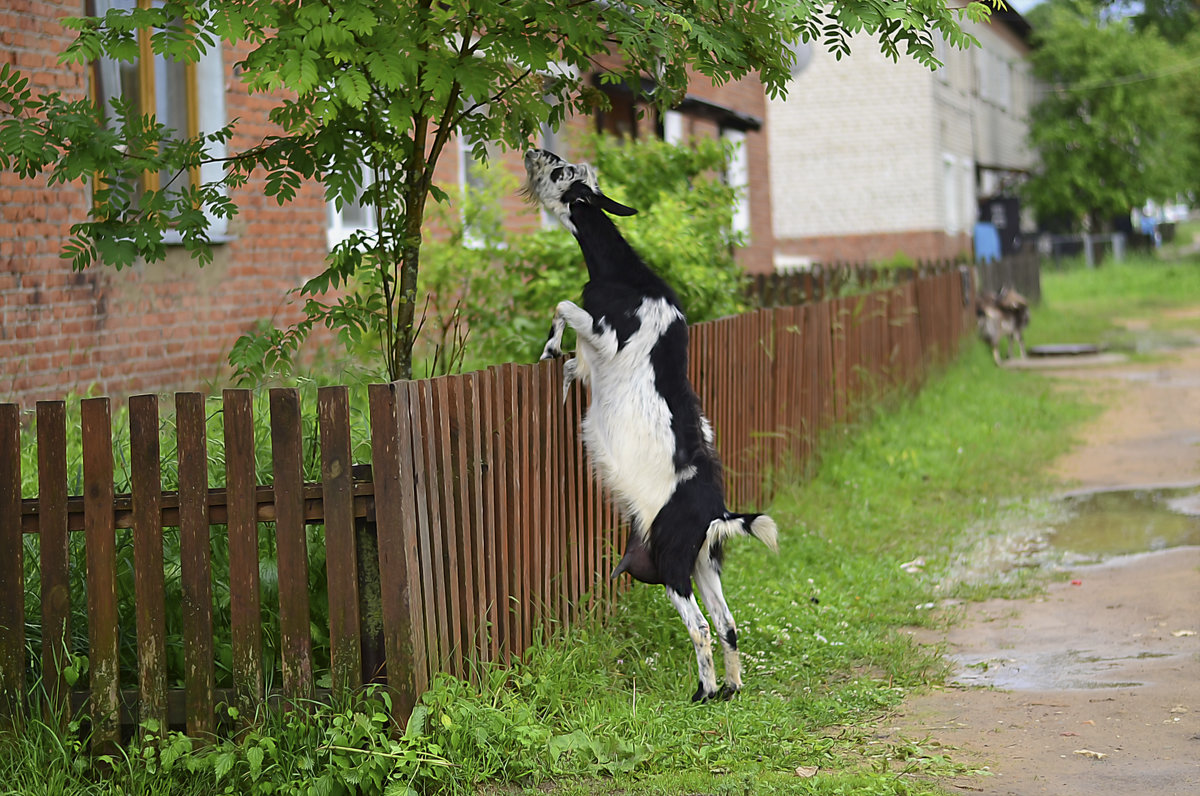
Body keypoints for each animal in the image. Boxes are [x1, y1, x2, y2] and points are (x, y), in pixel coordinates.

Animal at [523, 151, 777, 705]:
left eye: (561, 172)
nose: (535, 152)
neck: (628, 279)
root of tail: (718, 513)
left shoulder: (604, 334)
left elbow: (563, 308)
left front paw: (547, 347)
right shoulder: (593, 357)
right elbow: (574, 367)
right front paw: (559, 370)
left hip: (674, 564)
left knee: (701, 627)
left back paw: (703, 692)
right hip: (704, 562)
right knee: (728, 624)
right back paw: (731, 687)